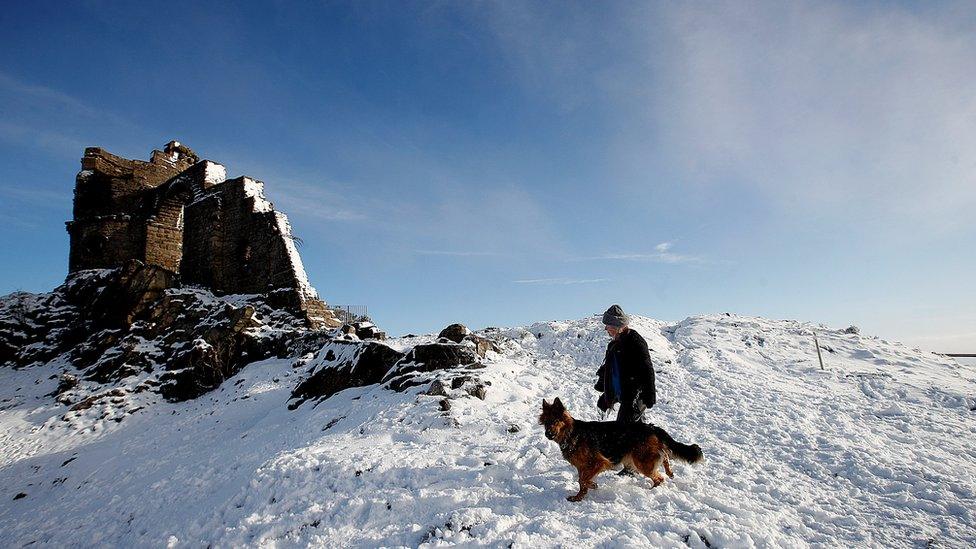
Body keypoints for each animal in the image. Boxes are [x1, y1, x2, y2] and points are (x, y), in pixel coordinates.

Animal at [540, 398, 700, 500]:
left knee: (659, 477)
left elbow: (583, 480)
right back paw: (669, 472)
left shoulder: (598, 462)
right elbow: (581, 481)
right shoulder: (582, 466)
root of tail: (652, 427)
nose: (548, 434)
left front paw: (591, 486)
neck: (572, 433)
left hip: (642, 462)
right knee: (665, 456)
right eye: (546, 422)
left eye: (555, 421)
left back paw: (651, 490)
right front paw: (579, 496)